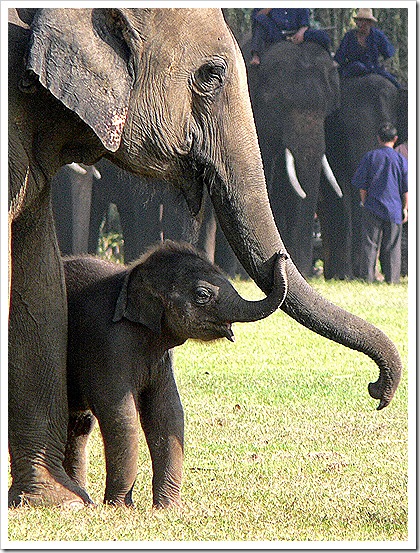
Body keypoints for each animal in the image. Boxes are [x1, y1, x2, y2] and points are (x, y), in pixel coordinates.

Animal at [62, 239, 288, 506]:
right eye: (202, 295)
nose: (281, 255)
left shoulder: (161, 358)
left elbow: (167, 411)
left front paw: (168, 508)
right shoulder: (108, 343)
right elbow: (120, 413)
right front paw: (120, 507)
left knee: (80, 424)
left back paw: (81, 497)